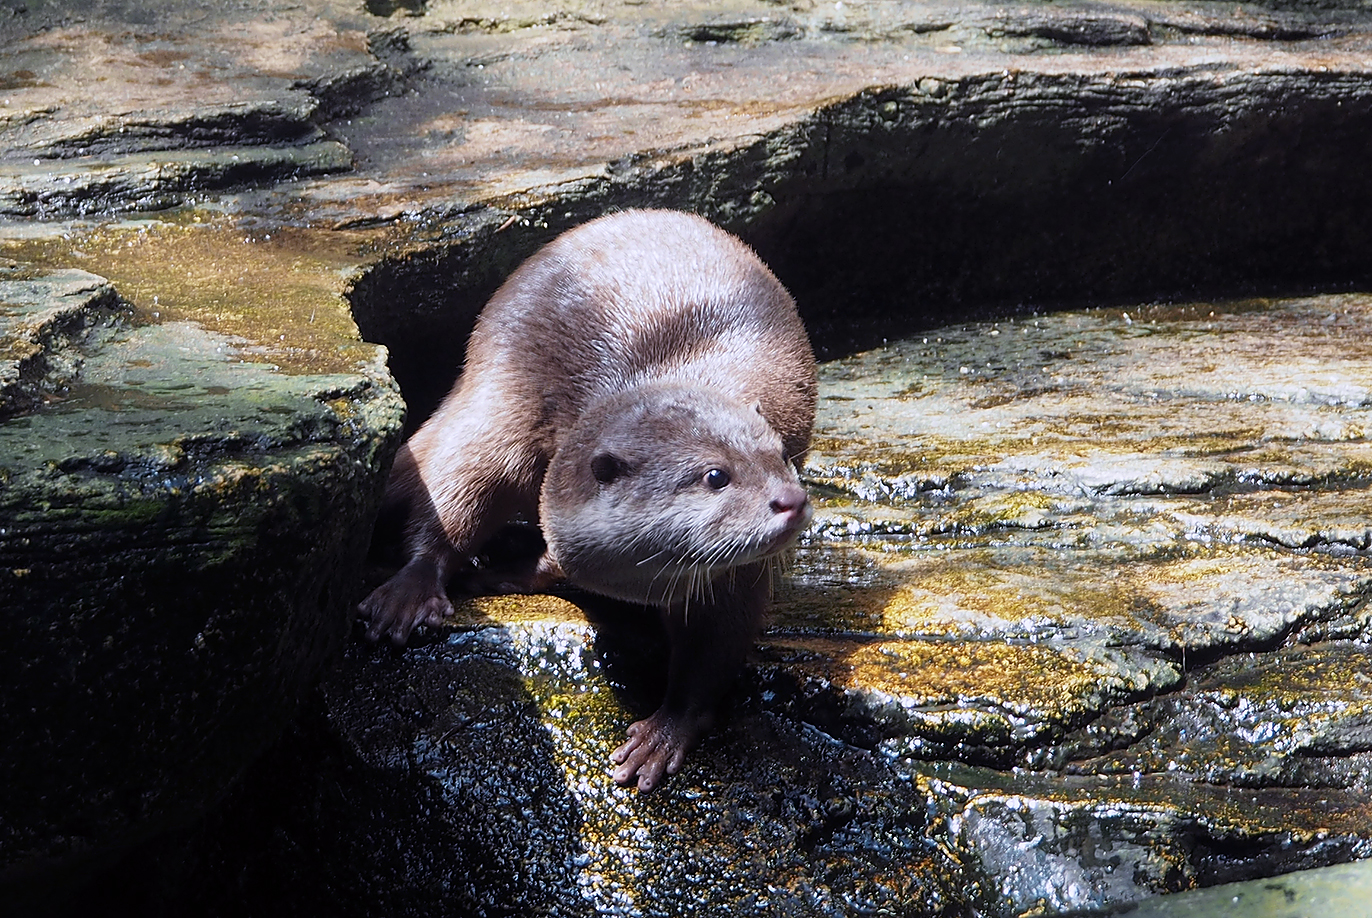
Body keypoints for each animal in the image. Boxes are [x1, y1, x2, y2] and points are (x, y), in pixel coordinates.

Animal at [359, 209, 817, 790]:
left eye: (780, 455)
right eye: (716, 476)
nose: (791, 499)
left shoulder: (733, 578)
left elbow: (714, 648)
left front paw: (663, 734)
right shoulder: (511, 417)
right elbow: (457, 487)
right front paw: (416, 588)